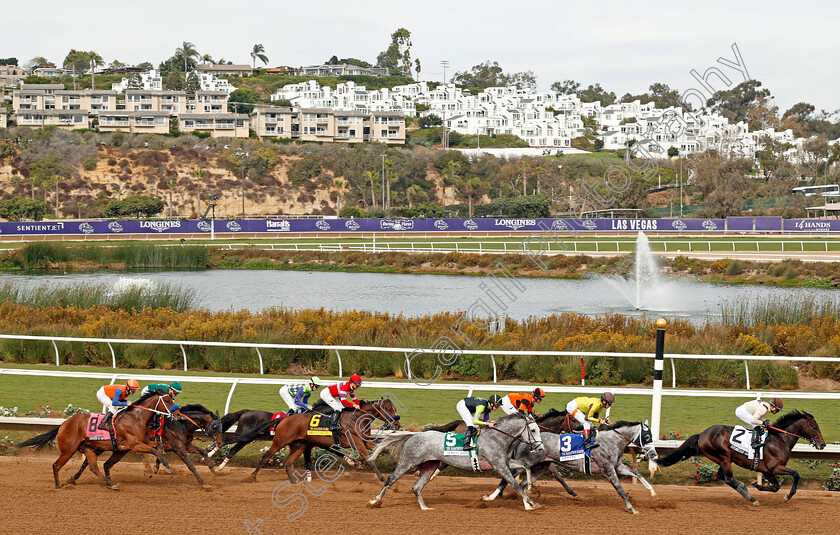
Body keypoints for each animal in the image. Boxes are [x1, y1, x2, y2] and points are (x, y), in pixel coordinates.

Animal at [16, 390, 180, 490]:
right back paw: (58, 486)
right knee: (56, 465)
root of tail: (63, 424)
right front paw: (166, 467)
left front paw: (160, 467)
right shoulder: (135, 445)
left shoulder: (142, 442)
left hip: (89, 449)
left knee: (93, 467)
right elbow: (154, 450)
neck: (136, 417)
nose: (178, 414)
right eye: (167, 400)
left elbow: (158, 446)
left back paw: (110, 483)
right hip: (68, 450)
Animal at [65, 406, 223, 490]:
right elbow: (190, 465)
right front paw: (203, 483)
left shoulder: (186, 445)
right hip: (105, 446)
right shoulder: (178, 447)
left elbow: (203, 452)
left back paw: (74, 478)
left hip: (118, 450)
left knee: (99, 463)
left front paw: (213, 469)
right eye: (216, 426)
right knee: (90, 462)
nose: (221, 442)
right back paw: (75, 478)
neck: (181, 424)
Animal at [368, 414, 544, 510]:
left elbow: (525, 466)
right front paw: (531, 502)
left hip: (429, 466)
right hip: (408, 462)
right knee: (391, 479)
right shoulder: (499, 465)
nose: (541, 448)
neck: (498, 437)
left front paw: (529, 488)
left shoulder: (505, 462)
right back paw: (375, 501)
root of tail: (413, 435)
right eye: (533, 430)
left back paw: (425, 508)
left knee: (417, 487)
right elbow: (514, 484)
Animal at [486, 422, 656, 516]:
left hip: (540, 467)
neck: (610, 442)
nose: (653, 454)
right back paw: (492, 497)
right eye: (647, 437)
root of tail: (523, 440)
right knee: (508, 478)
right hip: (525, 462)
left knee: (521, 484)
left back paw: (528, 504)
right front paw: (632, 509)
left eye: (651, 436)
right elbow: (620, 489)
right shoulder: (607, 468)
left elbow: (637, 473)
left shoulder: (617, 466)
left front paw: (652, 492)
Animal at [656, 412, 828, 504]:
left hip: (723, 459)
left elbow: (776, 487)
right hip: (723, 456)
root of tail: (702, 434)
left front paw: (758, 485)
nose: (823, 444)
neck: (780, 440)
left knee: (723, 476)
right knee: (728, 479)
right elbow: (795, 475)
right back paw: (750, 497)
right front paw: (787, 495)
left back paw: (744, 488)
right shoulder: (774, 468)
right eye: (814, 427)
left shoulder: (767, 471)